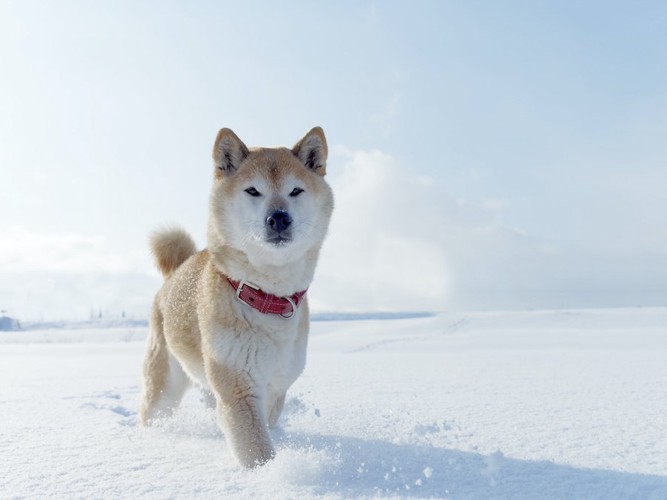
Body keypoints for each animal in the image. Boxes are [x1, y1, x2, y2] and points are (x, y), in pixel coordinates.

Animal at [142, 126, 336, 468]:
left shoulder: (275, 387)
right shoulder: (238, 387)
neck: (267, 295)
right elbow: (257, 451)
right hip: (165, 383)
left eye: (296, 191)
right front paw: (271, 474)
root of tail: (175, 272)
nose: (279, 218)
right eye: (253, 191)